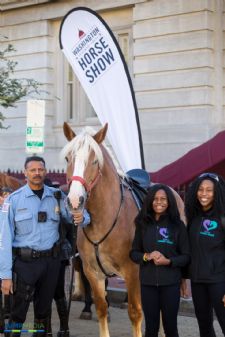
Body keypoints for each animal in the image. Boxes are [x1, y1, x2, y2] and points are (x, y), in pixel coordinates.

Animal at [62, 122, 186, 336]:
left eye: (94, 161)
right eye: (68, 158)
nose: (75, 200)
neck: (105, 218)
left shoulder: (132, 271)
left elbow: (135, 313)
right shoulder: (93, 272)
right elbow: (101, 309)